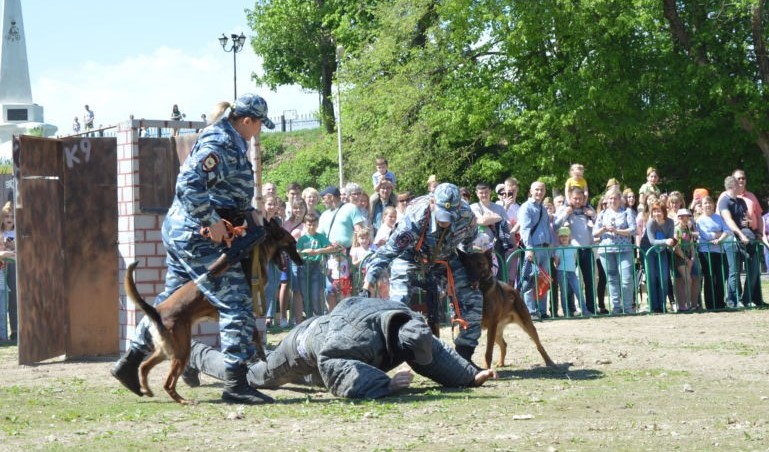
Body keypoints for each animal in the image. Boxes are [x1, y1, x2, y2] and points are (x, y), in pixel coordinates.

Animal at [125, 218, 300, 402]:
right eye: (293, 243)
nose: (301, 261)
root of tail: (157, 313)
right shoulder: (246, 309)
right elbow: (254, 334)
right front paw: (259, 353)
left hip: (166, 351)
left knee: (144, 366)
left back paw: (144, 387)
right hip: (181, 351)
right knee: (167, 383)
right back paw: (183, 400)